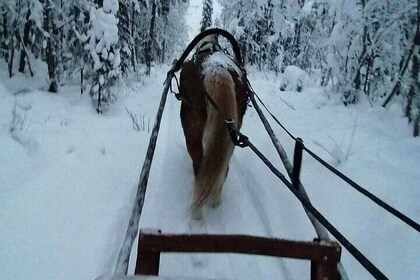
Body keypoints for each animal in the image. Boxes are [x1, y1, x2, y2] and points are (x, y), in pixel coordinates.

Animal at [178, 34, 249, 219]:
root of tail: (215, 66)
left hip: (193, 129)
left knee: (199, 165)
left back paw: (197, 212)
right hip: (232, 132)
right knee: (223, 168)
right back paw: (215, 201)